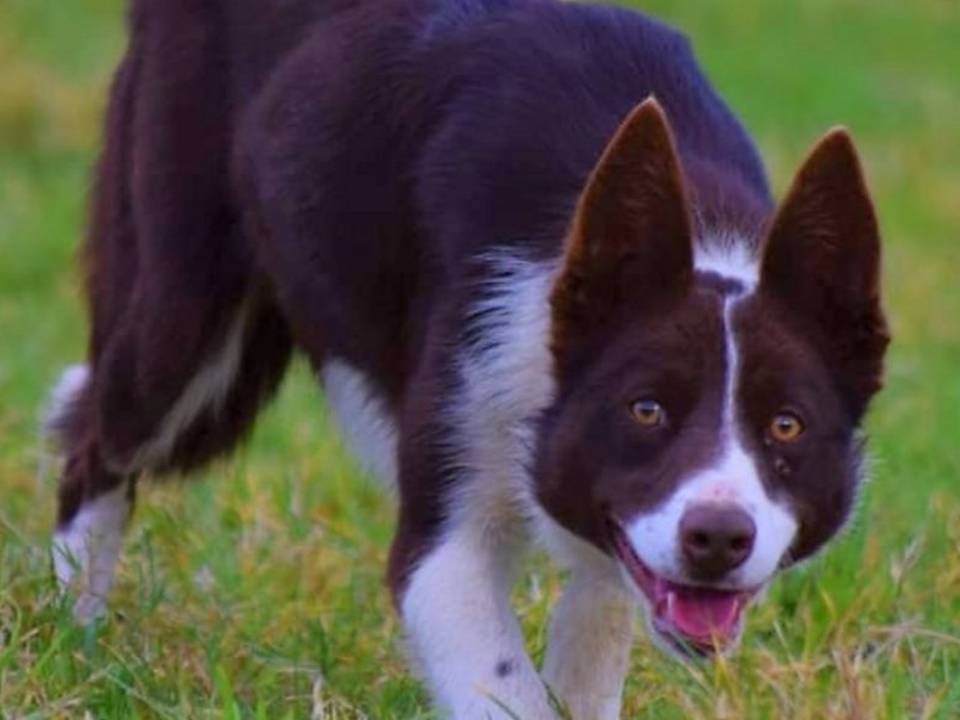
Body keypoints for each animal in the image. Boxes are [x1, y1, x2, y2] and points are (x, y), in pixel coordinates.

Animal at [48, 0, 888, 716]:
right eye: (646, 409)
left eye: (786, 426)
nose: (715, 540)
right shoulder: (447, 531)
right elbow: (497, 670)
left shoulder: (610, 526)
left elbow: (594, 629)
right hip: (185, 325)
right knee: (95, 435)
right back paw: (73, 633)